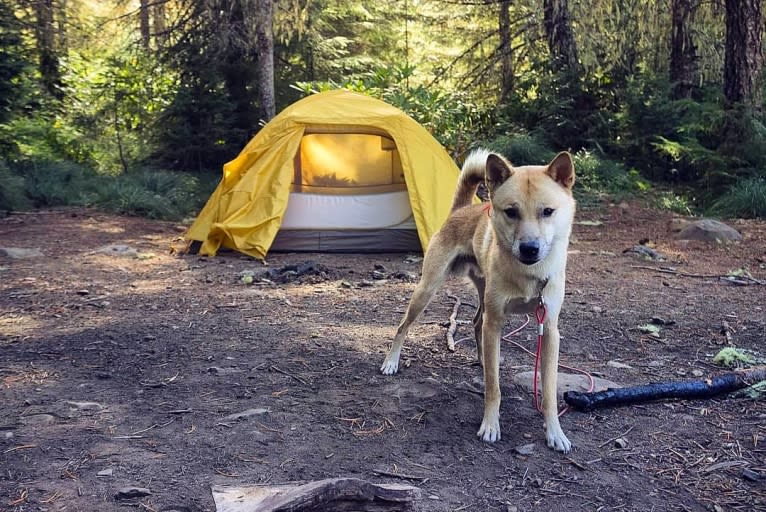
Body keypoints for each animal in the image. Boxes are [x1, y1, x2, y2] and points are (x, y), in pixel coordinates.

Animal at [380, 147, 580, 452]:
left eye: (548, 211)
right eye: (511, 212)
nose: (529, 248)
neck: (528, 274)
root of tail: (462, 209)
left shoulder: (549, 330)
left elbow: (548, 391)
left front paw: (555, 433)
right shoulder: (496, 322)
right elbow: (493, 389)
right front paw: (490, 425)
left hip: (484, 298)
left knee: (476, 325)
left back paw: (485, 361)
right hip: (428, 290)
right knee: (403, 326)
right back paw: (392, 361)